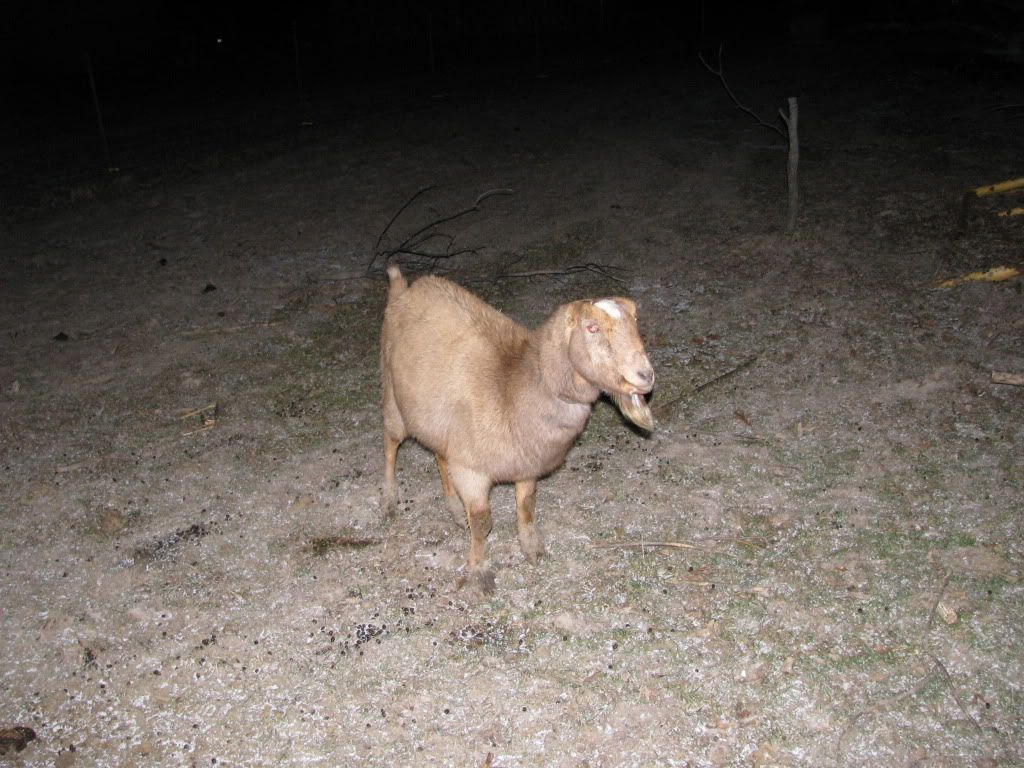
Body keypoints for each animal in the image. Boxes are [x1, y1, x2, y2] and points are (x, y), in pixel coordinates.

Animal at [379, 264, 654, 595]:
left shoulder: (526, 463)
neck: (513, 387)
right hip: (394, 399)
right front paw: (479, 571)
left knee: (439, 456)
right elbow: (483, 523)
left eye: (636, 320)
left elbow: (526, 506)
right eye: (591, 328)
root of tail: (403, 289)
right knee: (390, 445)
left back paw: (455, 510)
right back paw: (390, 500)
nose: (645, 375)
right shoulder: (471, 469)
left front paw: (531, 548)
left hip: (437, 421)